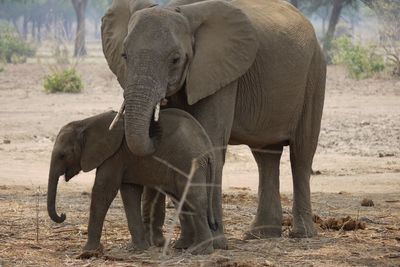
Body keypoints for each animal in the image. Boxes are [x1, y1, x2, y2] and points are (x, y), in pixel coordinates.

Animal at [48, 109, 217, 258]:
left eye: (63, 155)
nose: (63, 215)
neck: (85, 123)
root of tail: (208, 147)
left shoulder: (114, 156)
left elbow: (104, 191)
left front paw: (88, 251)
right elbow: (130, 193)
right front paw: (137, 249)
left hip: (188, 163)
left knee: (194, 199)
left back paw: (200, 251)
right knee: (183, 201)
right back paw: (186, 246)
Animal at [101, 0, 324, 248]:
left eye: (175, 59)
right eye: (124, 55)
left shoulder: (220, 73)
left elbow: (210, 140)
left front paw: (215, 244)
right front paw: (179, 244)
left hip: (315, 73)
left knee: (301, 153)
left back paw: (301, 234)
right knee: (266, 155)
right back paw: (260, 235)